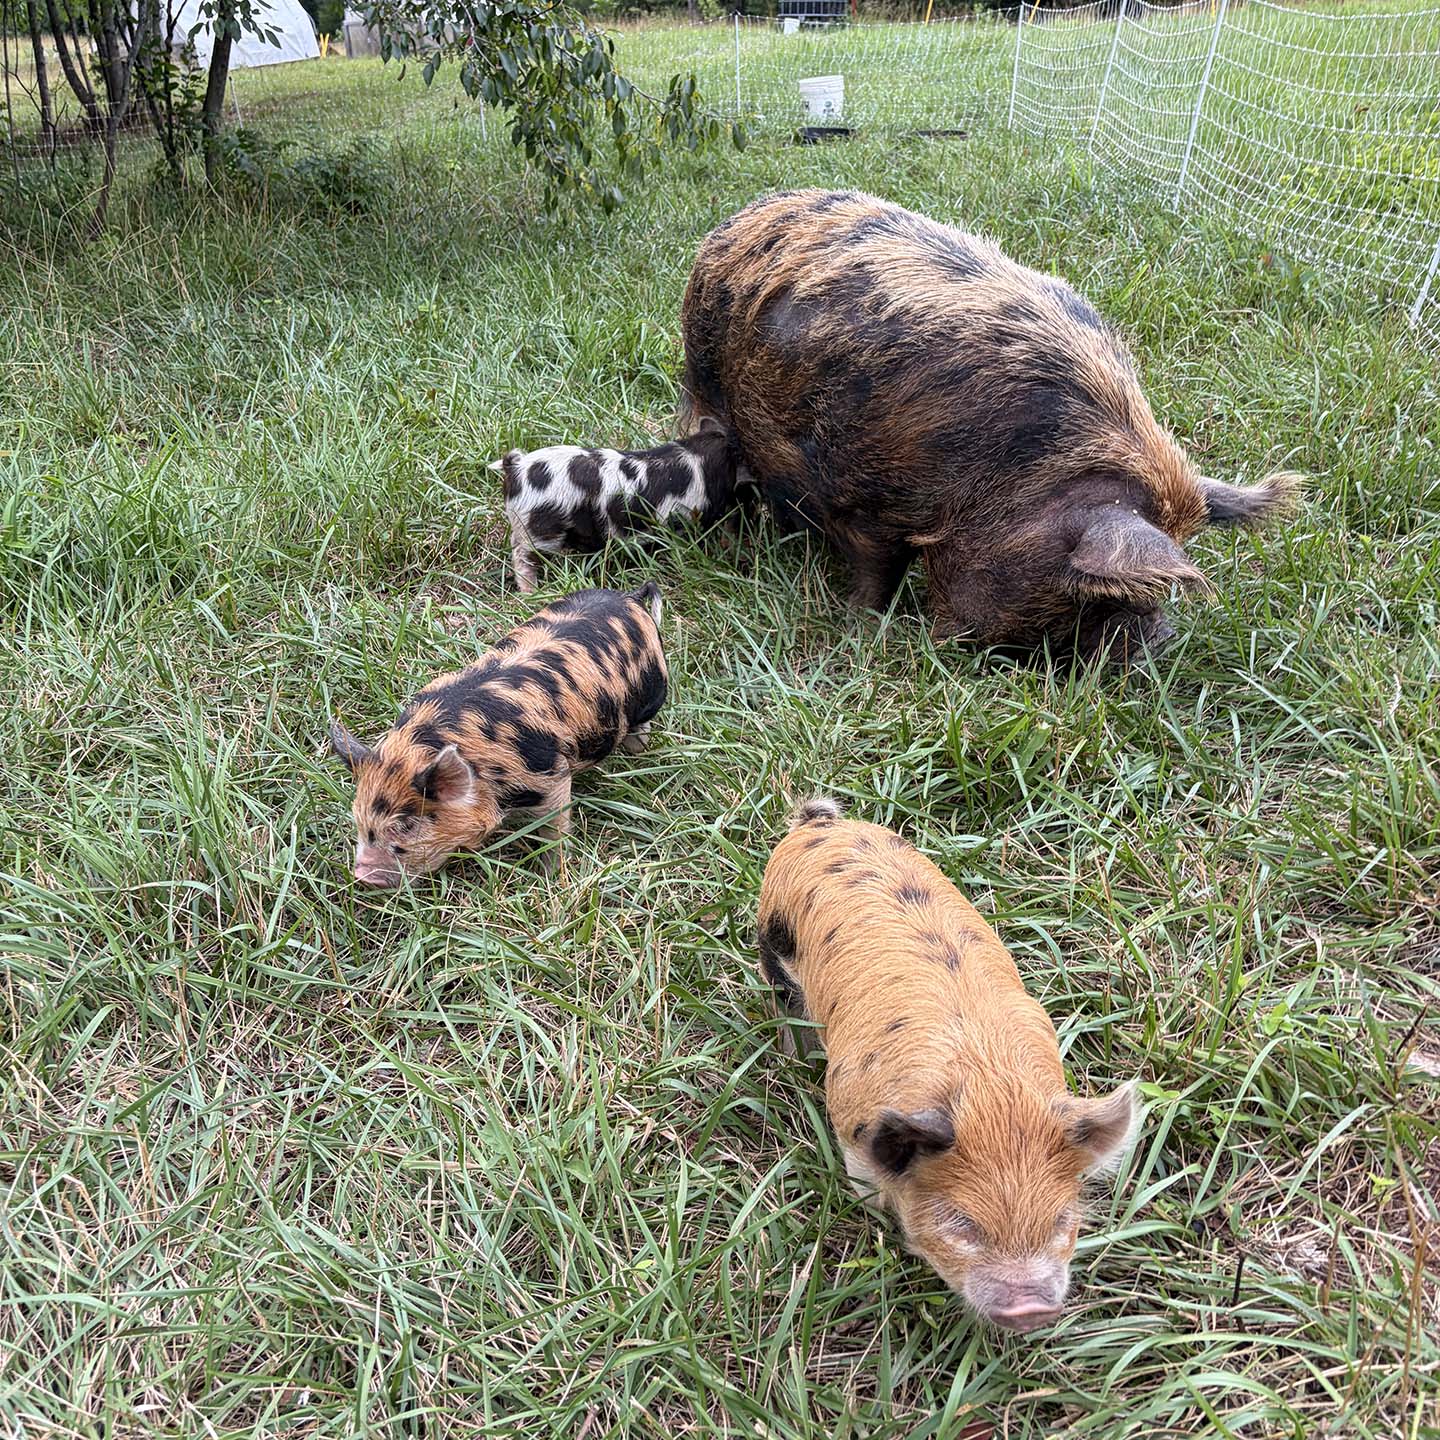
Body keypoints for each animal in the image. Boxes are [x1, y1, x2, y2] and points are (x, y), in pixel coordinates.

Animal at [328, 585, 667, 886]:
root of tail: (631, 599)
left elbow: (554, 827)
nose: (363, 876)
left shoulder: (551, 774)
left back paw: (638, 747)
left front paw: (551, 876)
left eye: (406, 828)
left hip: (654, 690)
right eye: (359, 819)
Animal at [680, 188, 1303, 658]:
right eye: (1100, 595)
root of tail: (728, 225)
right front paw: (863, 629)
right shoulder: (867, 497)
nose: (1159, 644)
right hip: (703, 379)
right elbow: (878, 571)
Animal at [757, 797, 1138, 1331]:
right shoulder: (847, 1110)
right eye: (964, 1225)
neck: (987, 1086)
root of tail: (821, 825)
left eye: (1061, 1221)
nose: (1033, 1309)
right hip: (771, 935)